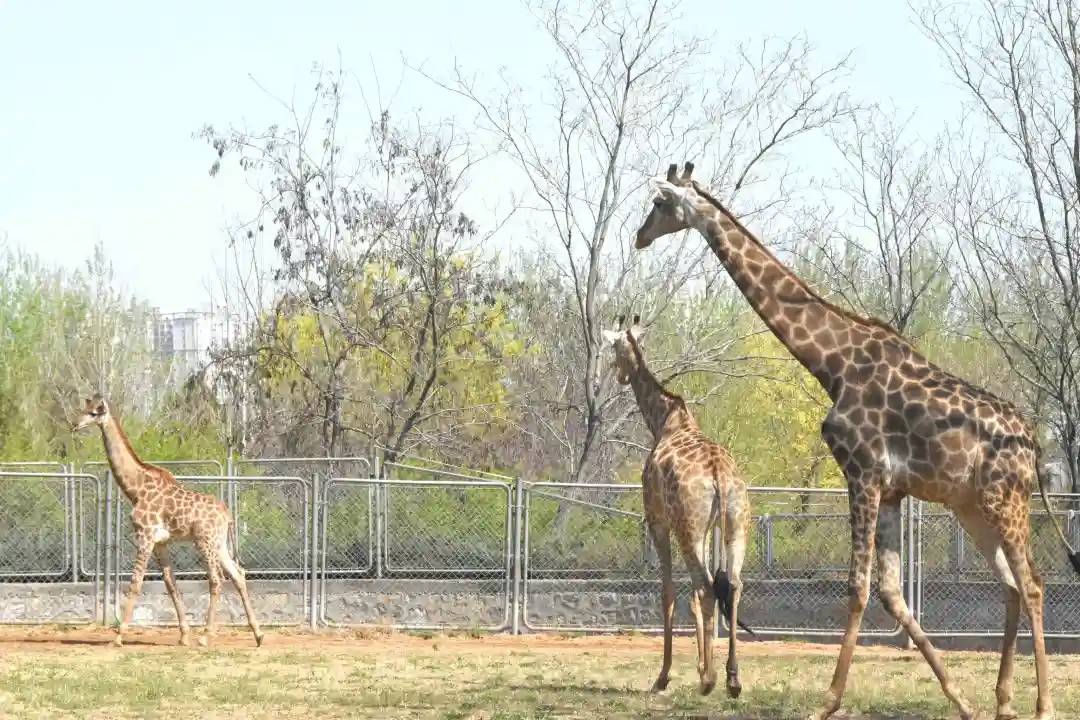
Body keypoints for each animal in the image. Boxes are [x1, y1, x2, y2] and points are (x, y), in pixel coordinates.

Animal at [72, 395, 263, 647]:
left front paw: (119, 636)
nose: (75, 425)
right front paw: (183, 635)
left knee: (217, 579)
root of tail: (227, 515)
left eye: (95, 412)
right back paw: (258, 634)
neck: (135, 489)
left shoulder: (144, 536)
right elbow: (170, 583)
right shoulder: (161, 542)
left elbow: (136, 583)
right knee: (238, 574)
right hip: (219, 543)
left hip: (204, 541)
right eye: (84, 408)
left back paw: (206, 637)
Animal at [604, 315, 756, 699]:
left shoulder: (657, 520)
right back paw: (732, 678)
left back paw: (710, 680)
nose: (619, 375)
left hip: (688, 527)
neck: (664, 421)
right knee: (731, 584)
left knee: (705, 586)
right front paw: (700, 666)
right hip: (734, 524)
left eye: (614, 348)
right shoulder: (704, 529)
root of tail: (719, 476)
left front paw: (665, 676)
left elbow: (669, 591)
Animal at [630, 162, 1080, 720]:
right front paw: (958, 698)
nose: (639, 237)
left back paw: (1042, 704)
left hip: (1005, 499)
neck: (833, 363)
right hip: (971, 506)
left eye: (659, 204)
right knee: (1012, 585)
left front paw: (826, 701)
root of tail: (1034, 443)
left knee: (1034, 583)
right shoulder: (889, 489)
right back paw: (1001, 701)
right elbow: (889, 591)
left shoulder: (861, 473)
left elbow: (859, 587)